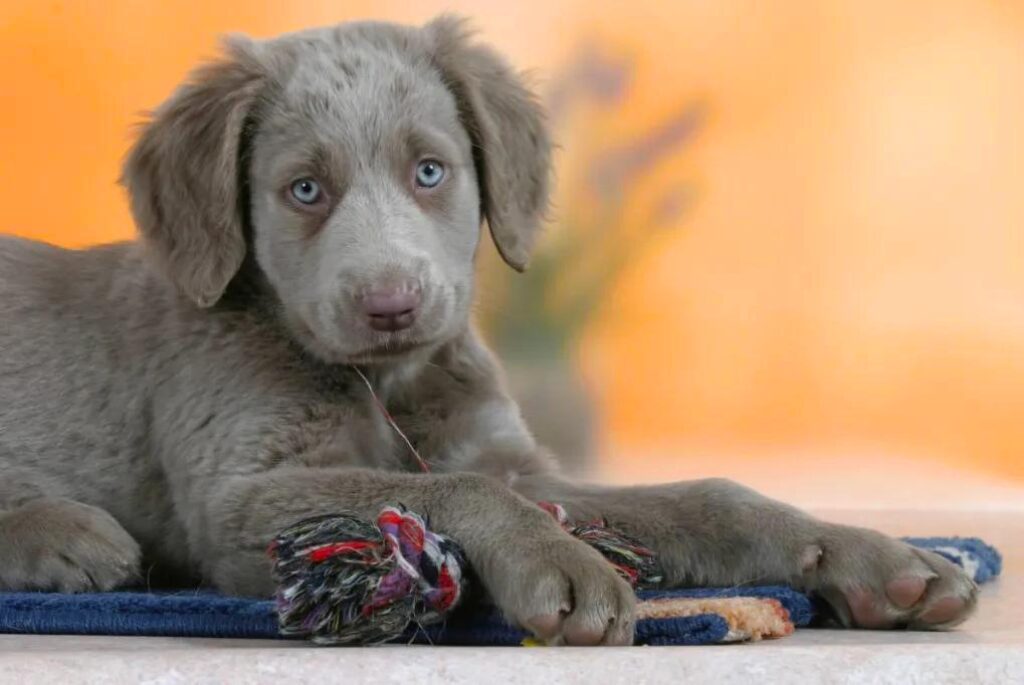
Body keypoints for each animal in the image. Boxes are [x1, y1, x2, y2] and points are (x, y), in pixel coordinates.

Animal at [0, 17, 974, 647]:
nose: (392, 303)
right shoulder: (237, 497)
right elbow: (438, 493)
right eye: (305, 190)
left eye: (430, 171)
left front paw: (877, 558)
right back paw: (67, 537)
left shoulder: (512, 458)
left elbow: (705, 497)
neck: (387, 381)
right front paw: (559, 562)